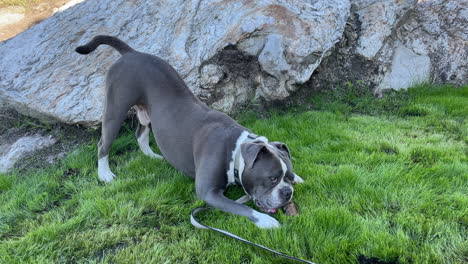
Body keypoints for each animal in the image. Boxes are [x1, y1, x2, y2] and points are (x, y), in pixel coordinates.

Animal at [75, 35, 304, 229]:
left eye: (288, 177)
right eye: (272, 178)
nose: (288, 192)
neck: (236, 152)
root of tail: (130, 53)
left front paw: (299, 179)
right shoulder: (208, 192)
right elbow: (241, 206)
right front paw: (265, 220)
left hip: (146, 112)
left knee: (141, 134)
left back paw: (153, 156)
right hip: (116, 108)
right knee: (103, 143)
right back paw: (105, 174)